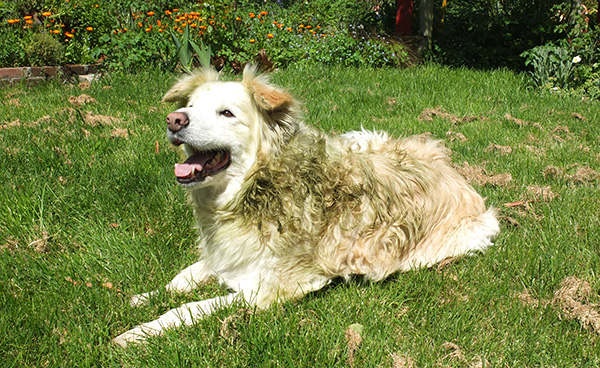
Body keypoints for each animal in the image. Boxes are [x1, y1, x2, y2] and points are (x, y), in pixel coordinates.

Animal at [111, 67, 496, 348]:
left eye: (226, 113)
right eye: (190, 106)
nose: (174, 119)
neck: (254, 190)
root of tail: (451, 167)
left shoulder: (269, 288)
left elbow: (191, 308)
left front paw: (140, 331)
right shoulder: (226, 252)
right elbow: (184, 277)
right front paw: (145, 297)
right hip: (363, 137)